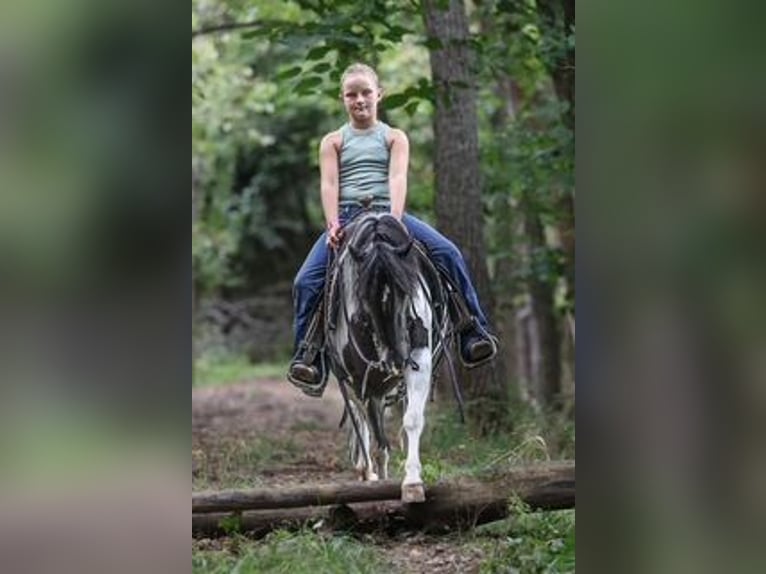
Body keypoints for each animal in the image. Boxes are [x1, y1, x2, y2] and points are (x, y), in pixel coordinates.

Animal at [323, 211, 449, 503]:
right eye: (365, 299)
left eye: (406, 293)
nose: (395, 360)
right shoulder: (364, 381)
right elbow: (377, 438)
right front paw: (376, 481)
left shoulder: (420, 359)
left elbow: (412, 420)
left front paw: (412, 483)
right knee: (361, 421)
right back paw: (365, 469)